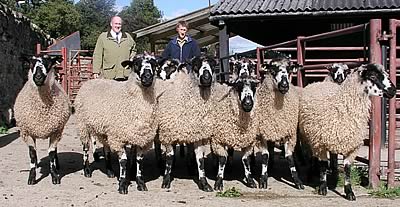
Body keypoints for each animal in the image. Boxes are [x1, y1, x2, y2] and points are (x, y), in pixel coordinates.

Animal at [13, 54, 70, 185]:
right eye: (31, 63)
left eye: (48, 63)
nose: (38, 77)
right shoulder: (27, 132)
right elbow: (32, 155)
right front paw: (31, 178)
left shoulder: (56, 132)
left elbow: (51, 154)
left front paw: (55, 176)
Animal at [75, 54, 166, 194]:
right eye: (136, 64)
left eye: (154, 64)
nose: (147, 77)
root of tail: (90, 81)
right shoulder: (119, 137)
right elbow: (123, 161)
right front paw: (123, 184)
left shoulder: (141, 137)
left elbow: (139, 160)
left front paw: (140, 182)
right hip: (83, 125)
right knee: (85, 147)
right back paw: (87, 170)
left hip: (104, 130)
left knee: (106, 148)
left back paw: (109, 171)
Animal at [157, 55, 219, 192]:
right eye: (196, 65)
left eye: (212, 65)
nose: (206, 78)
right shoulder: (169, 132)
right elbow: (169, 157)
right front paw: (166, 180)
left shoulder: (197, 134)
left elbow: (200, 159)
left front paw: (204, 183)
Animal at [253, 57, 304, 190]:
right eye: (273, 69)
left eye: (289, 69)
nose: (284, 85)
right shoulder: (262, 134)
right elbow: (265, 156)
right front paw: (263, 178)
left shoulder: (289, 133)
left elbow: (289, 157)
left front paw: (297, 181)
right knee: (270, 150)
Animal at [298, 63, 396, 201]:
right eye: (372, 76)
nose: (393, 90)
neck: (342, 105)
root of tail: (317, 82)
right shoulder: (320, 143)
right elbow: (323, 165)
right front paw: (323, 187)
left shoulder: (351, 146)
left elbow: (347, 169)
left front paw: (349, 192)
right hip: (309, 138)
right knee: (313, 157)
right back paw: (311, 173)